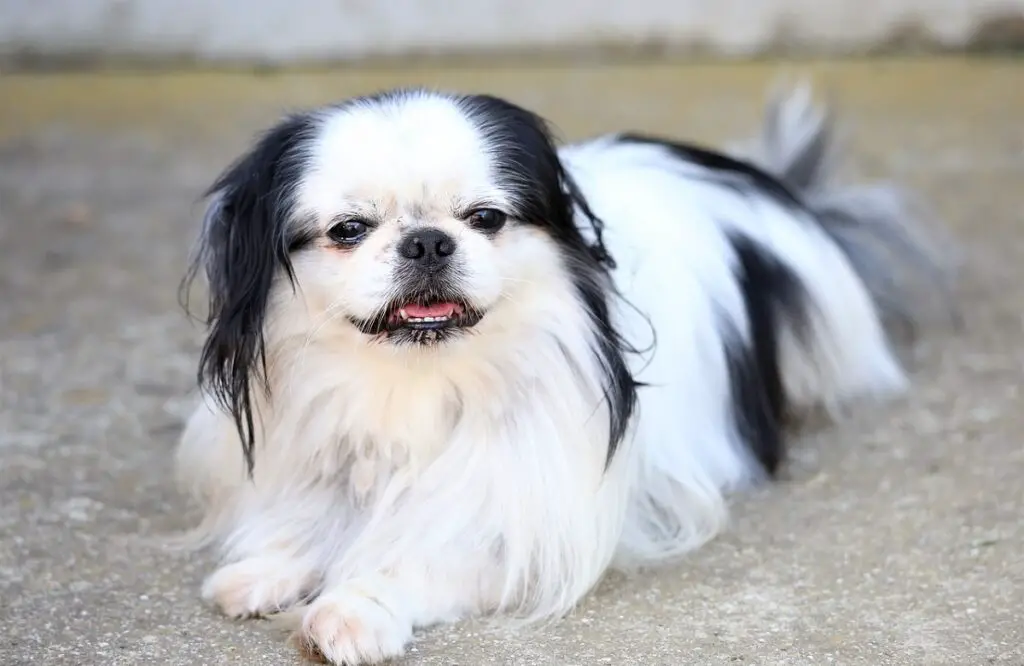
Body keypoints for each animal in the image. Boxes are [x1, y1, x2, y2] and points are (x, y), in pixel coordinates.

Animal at [176, 81, 950, 659]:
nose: (427, 241)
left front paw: (356, 606)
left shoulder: (529, 519)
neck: (416, 386)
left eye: (485, 218)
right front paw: (270, 567)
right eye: (348, 231)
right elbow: (318, 512)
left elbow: (429, 552)